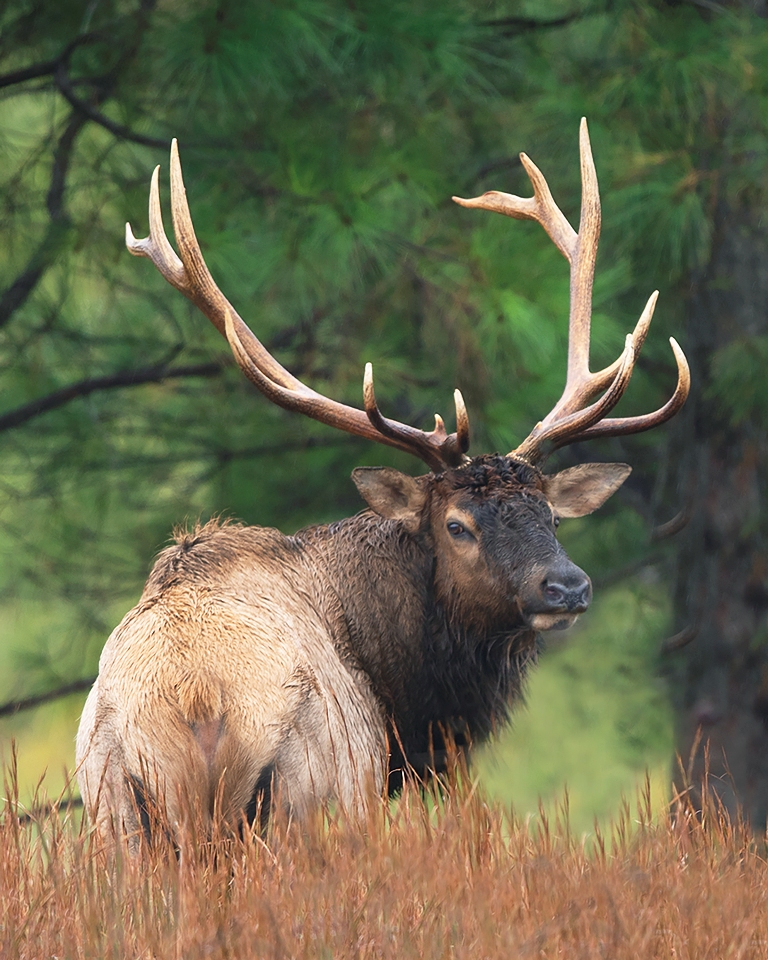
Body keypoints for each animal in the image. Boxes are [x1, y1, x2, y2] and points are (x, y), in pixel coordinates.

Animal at [76, 119, 689, 844]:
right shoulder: (363, 786)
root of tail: (197, 701)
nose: (566, 586)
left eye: (552, 517)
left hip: (118, 817)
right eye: (456, 526)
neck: (404, 700)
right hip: (307, 798)